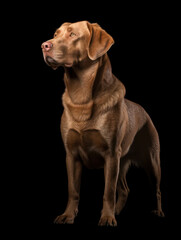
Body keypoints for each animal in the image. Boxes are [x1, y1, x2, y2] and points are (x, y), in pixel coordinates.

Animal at [41, 21, 164, 227]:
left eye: (72, 34)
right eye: (56, 34)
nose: (44, 46)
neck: (81, 99)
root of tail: (144, 111)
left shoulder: (111, 154)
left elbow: (108, 191)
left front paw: (107, 218)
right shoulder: (71, 155)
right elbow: (73, 190)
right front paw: (68, 215)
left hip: (151, 161)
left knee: (155, 189)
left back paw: (157, 211)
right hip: (122, 162)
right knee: (124, 189)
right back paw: (117, 211)